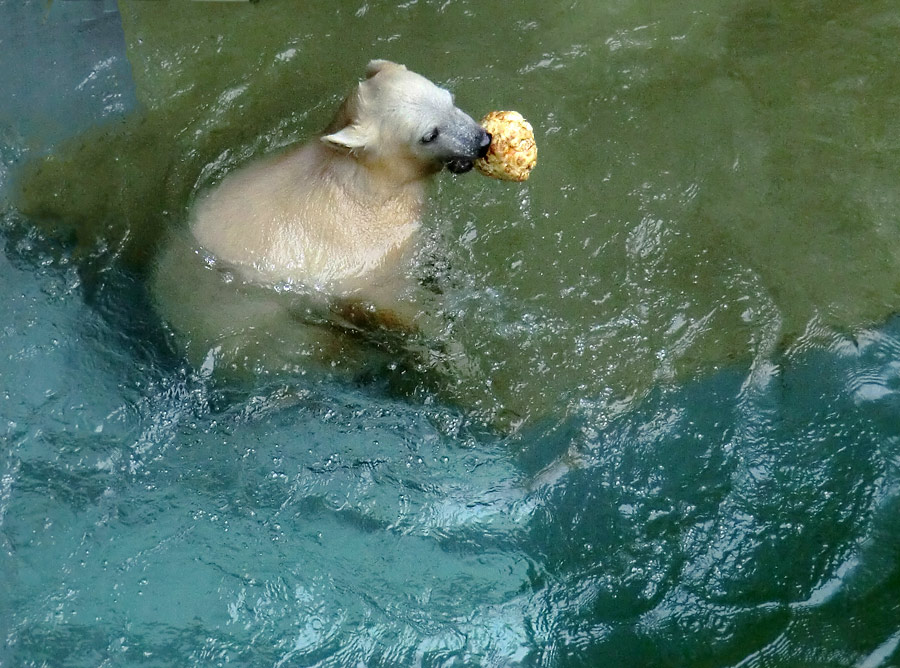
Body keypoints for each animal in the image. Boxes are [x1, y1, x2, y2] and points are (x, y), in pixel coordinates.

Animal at [156, 59, 492, 378]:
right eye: (429, 134)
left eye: (449, 98)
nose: (483, 141)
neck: (366, 180)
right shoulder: (367, 254)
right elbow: (397, 305)